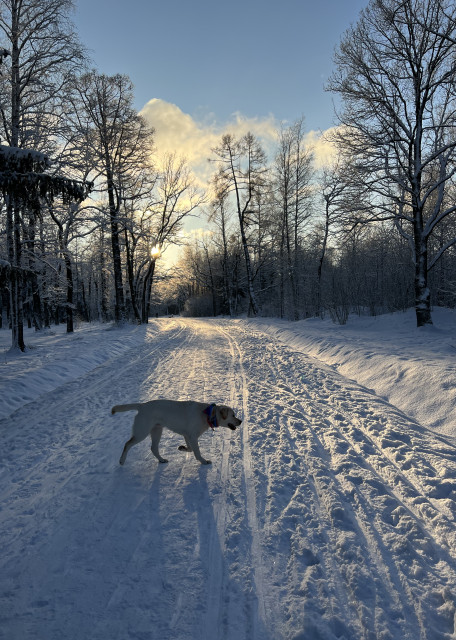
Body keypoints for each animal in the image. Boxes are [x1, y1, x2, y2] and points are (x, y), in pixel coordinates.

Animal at [112, 400, 242, 465]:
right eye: (233, 415)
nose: (240, 421)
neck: (208, 415)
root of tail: (142, 405)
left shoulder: (187, 435)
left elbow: (190, 449)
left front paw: (182, 448)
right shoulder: (192, 437)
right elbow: (197, 452)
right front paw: (204, 461)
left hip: (157, 431)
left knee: (153, 448)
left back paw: (161, 460)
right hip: (141, 432)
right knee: (127, 444)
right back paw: (121, 460)